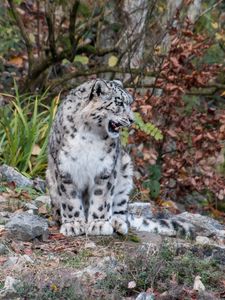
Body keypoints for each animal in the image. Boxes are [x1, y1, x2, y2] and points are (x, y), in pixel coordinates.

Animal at [46, 79, 193, 237]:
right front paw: (73, 225)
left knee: (121, 210)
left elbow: (101, 198)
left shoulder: (105, 169)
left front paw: (99, 224)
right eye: (119, 103)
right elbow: (70, 199)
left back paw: (117, 223)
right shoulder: (65, 169)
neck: (90, 134)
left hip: (125, 172)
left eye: (129, 103)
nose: (132, 120)